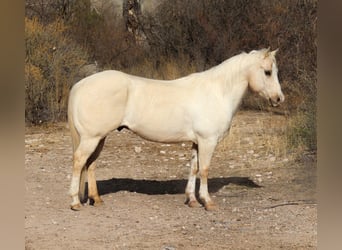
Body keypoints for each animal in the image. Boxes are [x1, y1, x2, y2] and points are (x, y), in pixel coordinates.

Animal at [67, 47, 284, 211]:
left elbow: (194, 168)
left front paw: (192, 200)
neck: (217, 92)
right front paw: (208, 202)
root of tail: (80, 85)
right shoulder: (207, 141)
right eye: (267, 72)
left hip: (99, 138)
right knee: (79, 162)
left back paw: (96, 199)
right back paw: (75, 202)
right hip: (91, 138)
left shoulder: (197, 142)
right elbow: (204, 170)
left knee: (91, 164)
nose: (279, 99)